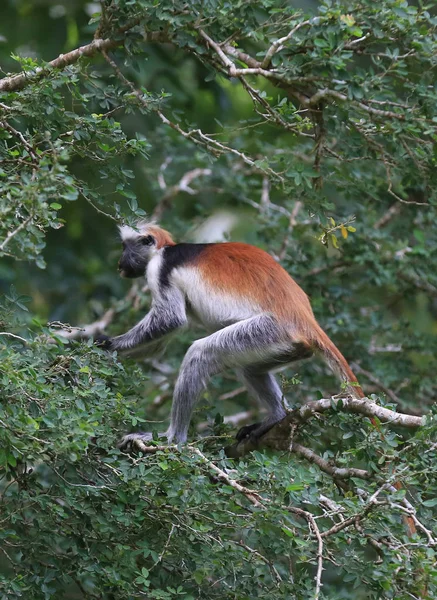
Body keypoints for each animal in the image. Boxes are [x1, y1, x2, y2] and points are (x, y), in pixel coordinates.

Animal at [103, 220, 364, 446]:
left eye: (125, 247)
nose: (119, 263)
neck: (164, 249)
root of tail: (302, 316)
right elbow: (159, 344)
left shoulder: (160, 269)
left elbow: (170, 320)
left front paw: (109, 344)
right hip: (285, 344)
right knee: (249, 369)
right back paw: (276, 417)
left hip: (270, 330)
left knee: (200, 353)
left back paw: (172, 439)